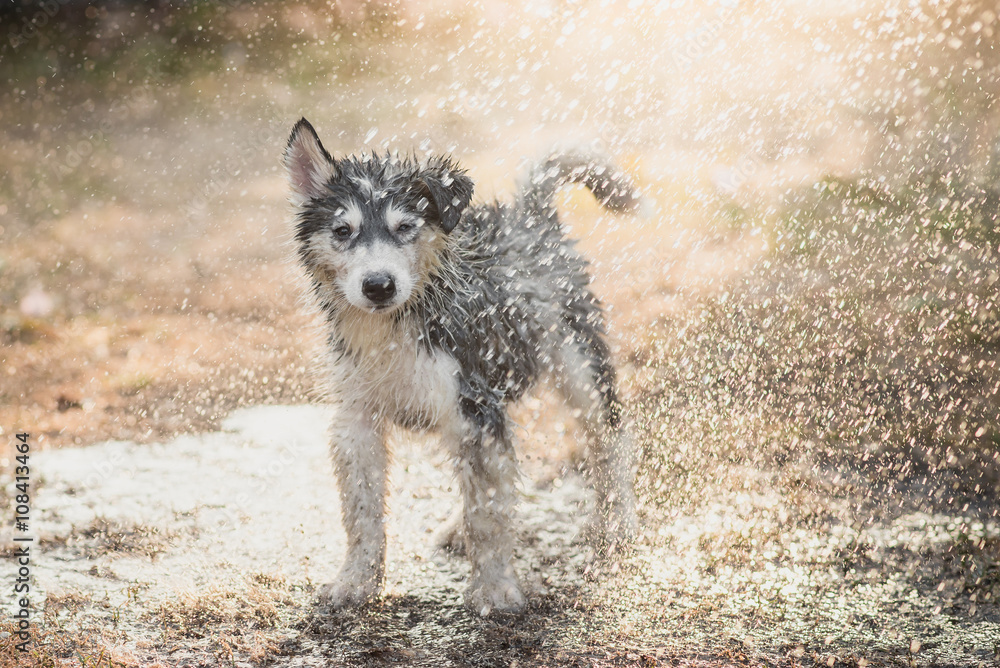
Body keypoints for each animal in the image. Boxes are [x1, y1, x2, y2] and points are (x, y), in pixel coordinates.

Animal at [282, 118, 640, 616]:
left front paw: (494, 589)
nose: (378, 285)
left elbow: (487, 515)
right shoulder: (357, 418)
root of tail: (531, 218)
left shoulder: (475, 404)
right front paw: (355, 582)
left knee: (609, 440)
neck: (399, 324)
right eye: (342, 230)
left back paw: (618, 522)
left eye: (405, 227)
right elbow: (362, 512)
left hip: (579, 365)